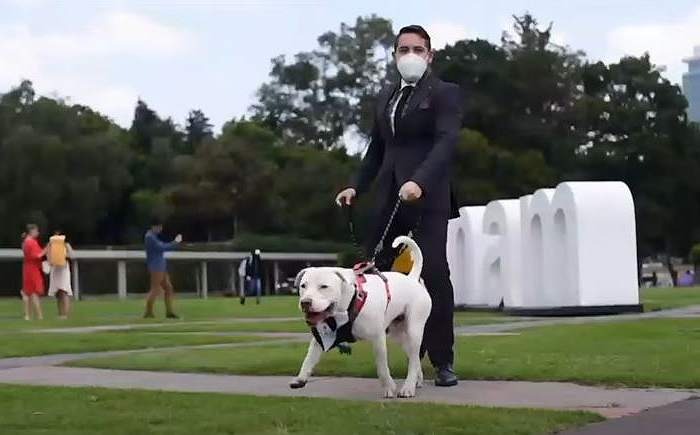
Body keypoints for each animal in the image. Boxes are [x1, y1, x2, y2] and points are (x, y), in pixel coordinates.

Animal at [290, 235, 432, 398]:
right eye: (303, 286)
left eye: (324, 287)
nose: (305, 302)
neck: (348, 304)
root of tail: (412, 278)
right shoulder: (322, 337)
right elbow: (309, 358)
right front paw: (300, 378)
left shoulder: (378, 339)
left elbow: (382, 367)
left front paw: (389, 387)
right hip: (398, 333)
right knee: (414, 358)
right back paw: (416, 381)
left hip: (414, 330)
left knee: (414, 358)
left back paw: (408, 387)